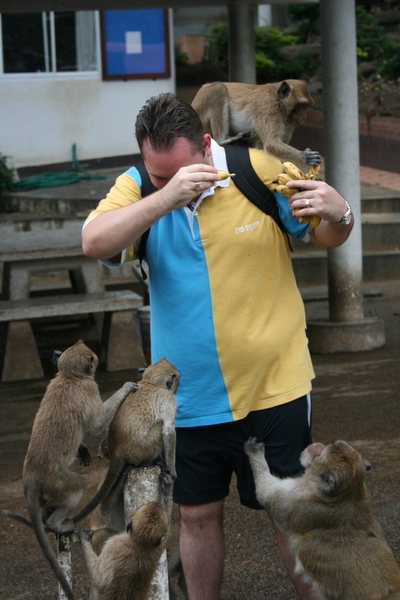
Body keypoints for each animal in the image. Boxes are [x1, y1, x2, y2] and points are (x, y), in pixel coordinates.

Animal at [2, 340, 138, 600]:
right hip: (56, 482)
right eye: (92, 358)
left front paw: (82, 448)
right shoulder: (89, 387)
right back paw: (55, 523)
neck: (69, 376)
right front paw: (126, 387)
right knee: (77, 485)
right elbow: (96, 424)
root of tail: (29, 477)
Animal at [70, 358, 180, 528]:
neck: (150, 383)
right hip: (141, 449)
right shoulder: (167, 398)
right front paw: (172, 472)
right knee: (159, 428)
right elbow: (168, 430)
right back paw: (151, 461)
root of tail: (117, 450)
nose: (177, 387)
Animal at [191, 79, 322, 166]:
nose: (304, 117)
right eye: (302, 105)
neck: (279, 103)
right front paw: (305, 157)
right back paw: (222, 139)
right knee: (218, 88)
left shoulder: (288, 122)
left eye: (306, 106)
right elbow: (271, 144)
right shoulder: (269, 109)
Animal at [242, 436, 400, 600]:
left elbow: (264, 492)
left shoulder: (294, 499)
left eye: (320, 454)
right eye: (331, 444)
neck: (347, 494)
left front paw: (254, 451)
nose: (316, 445)